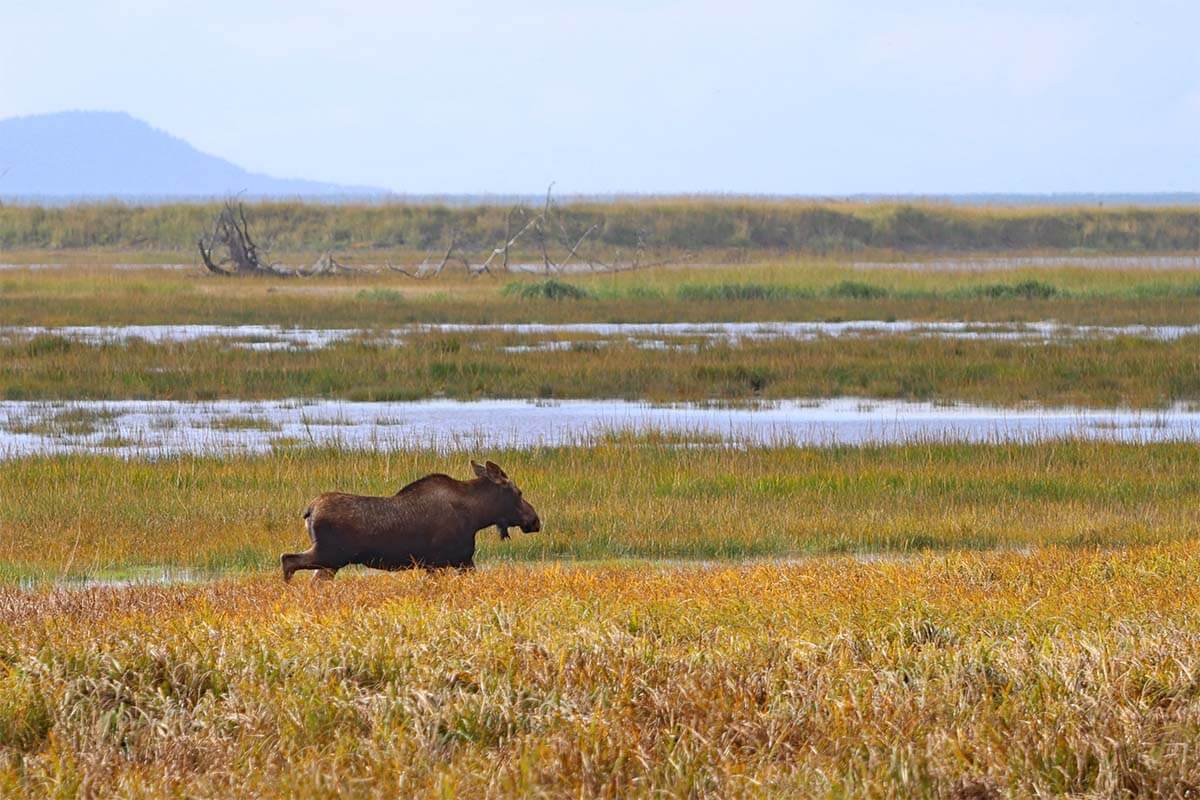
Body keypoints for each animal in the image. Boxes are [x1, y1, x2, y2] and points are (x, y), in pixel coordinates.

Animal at [280, 455, 540, 582]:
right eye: (519, 493)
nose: (535, 520)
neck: (477, 515)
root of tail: (309, 510)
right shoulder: (446, 560)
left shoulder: (457, 561)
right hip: (330, 555)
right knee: (288, 560)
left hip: (330, 560)